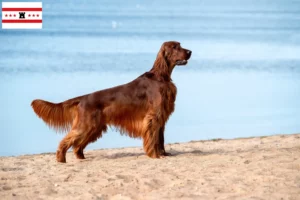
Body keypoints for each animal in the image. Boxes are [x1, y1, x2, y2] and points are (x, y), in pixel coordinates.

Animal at [31, 41, 192, 163]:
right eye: (175, 47)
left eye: (180, 45)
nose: (190, 51)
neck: (161, 76)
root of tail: (83, 98)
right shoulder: (153, 117)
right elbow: (153, 138)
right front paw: (154, 155)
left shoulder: (161, 118)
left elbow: (160, 138)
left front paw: (163, 154)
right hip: (87, 125)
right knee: (67, 140)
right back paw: (61, 159)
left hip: (95, 127)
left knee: (77, 145)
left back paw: (81, 157)